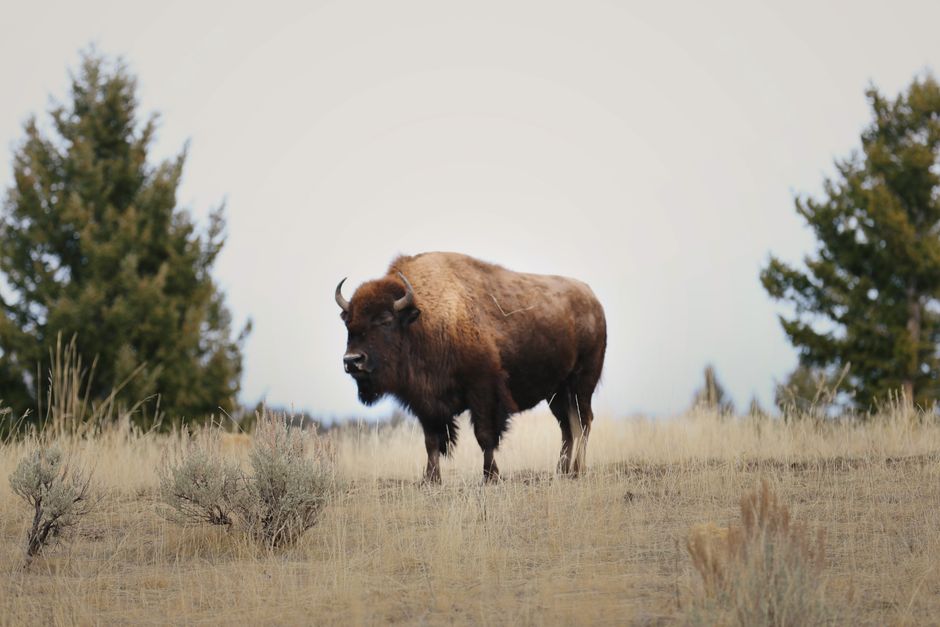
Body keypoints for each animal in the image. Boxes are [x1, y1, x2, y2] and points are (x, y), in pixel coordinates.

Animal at [335, 252, 606, 482]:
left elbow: (484, 436)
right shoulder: (425, 402)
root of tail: (593, 300)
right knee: (567, 427)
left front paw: (490, 476)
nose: (352, 361)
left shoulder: (483, 390)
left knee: (583, 422)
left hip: (581, 384)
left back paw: (578, 470)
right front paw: (430, 480)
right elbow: (431, 441)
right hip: (556, 393)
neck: (425, 319)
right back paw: (562, 471)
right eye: (348, 324)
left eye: (385, 321)